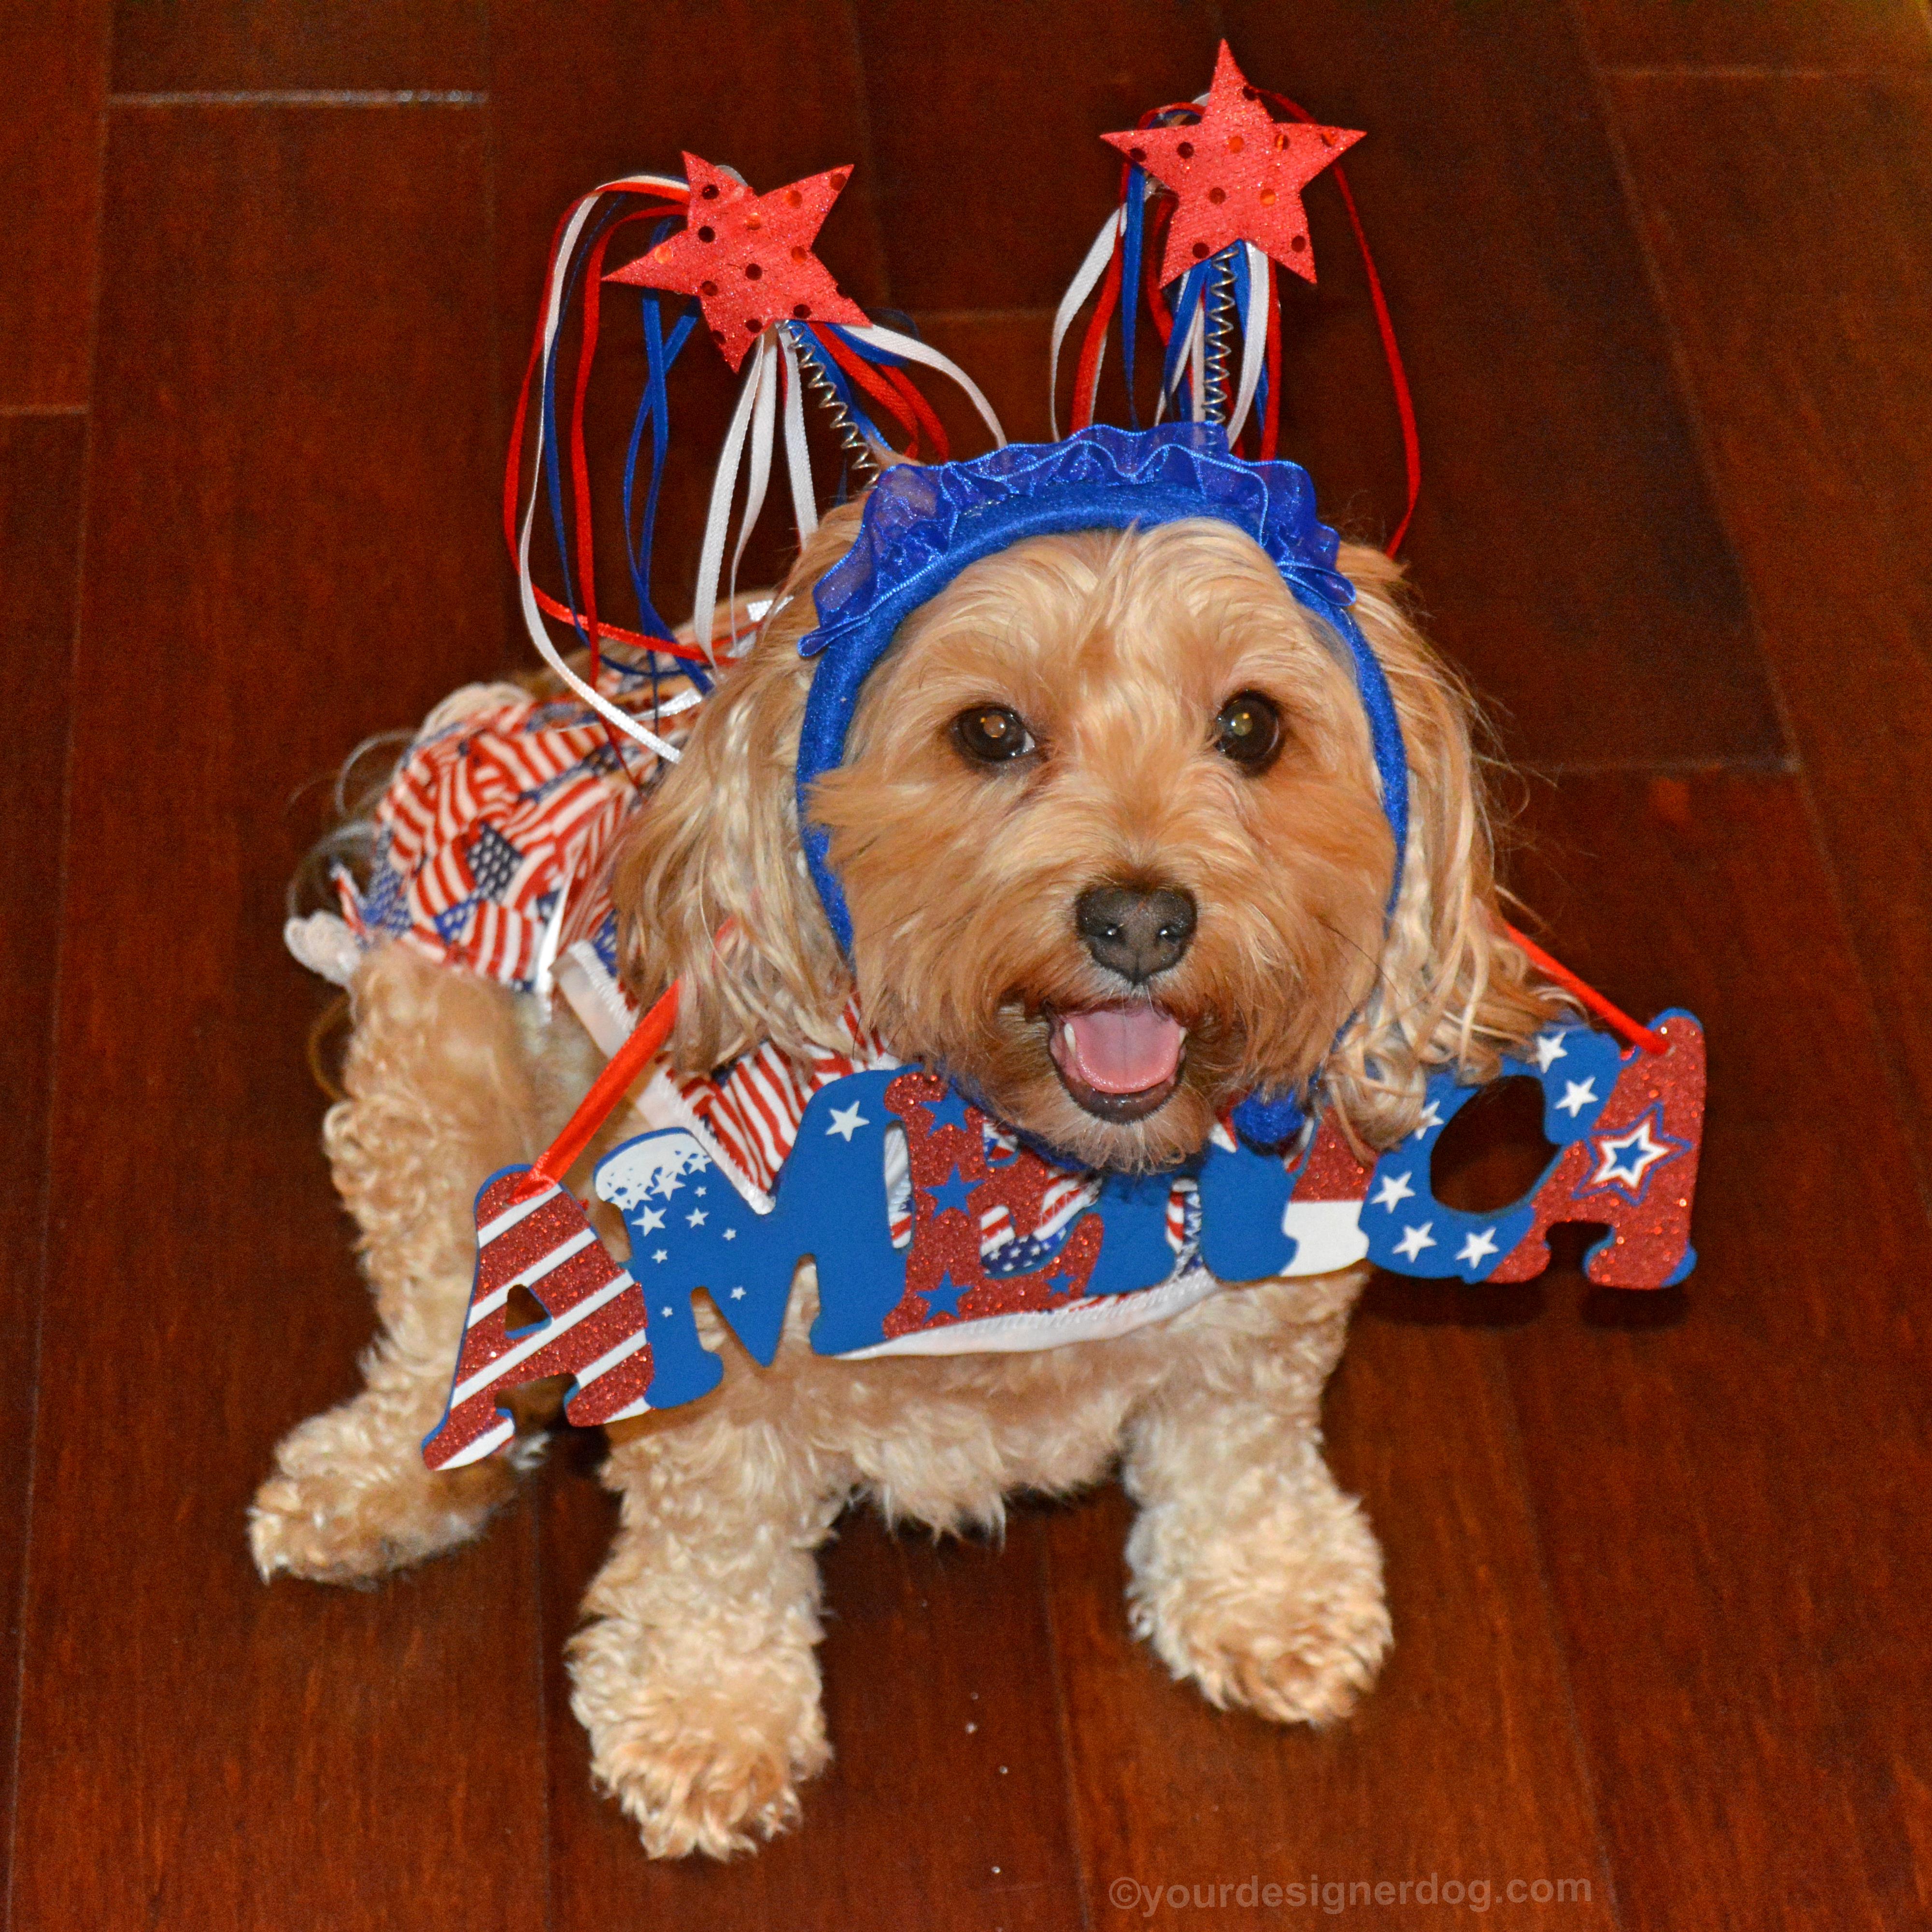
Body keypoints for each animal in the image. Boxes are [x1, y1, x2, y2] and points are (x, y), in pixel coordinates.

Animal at [249, 498, 1561, 1855]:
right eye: (990, 731)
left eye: (1251, 725)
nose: (1138, 921)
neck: (1034, 1159)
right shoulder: (715, 1330)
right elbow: (714, 1530)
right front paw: (703, 1714)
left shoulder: (1264, 1290)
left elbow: (1238, 1440)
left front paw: (1269, 1595)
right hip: (438, 1055)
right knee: (438, 1308)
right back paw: (384, 1477)